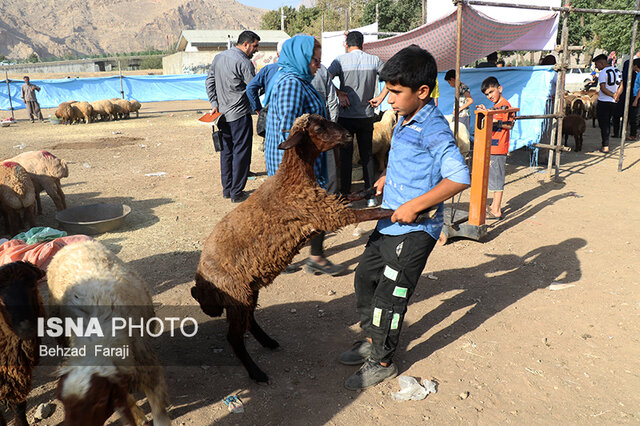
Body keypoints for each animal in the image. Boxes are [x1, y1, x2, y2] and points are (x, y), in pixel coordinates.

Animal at [47, 241, 171, 424]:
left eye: (100, 400)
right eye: (62, 401)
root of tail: (71, 243)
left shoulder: (148, 371)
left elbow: (159, 413)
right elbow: (126, 401)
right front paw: (138, 417)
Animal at [192, 114, 396, 382]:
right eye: (318, 127)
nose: (347, 135)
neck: (291, 181)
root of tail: (201, 286)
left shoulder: (325, 205)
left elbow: (346, 196)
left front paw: (371, 189)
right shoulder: (326, 215)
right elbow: (365, 212)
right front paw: (396, 211)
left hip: (248, 290)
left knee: (249, 319)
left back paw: (268, 342)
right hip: (235, 294)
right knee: (234, 337)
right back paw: (257, 372)